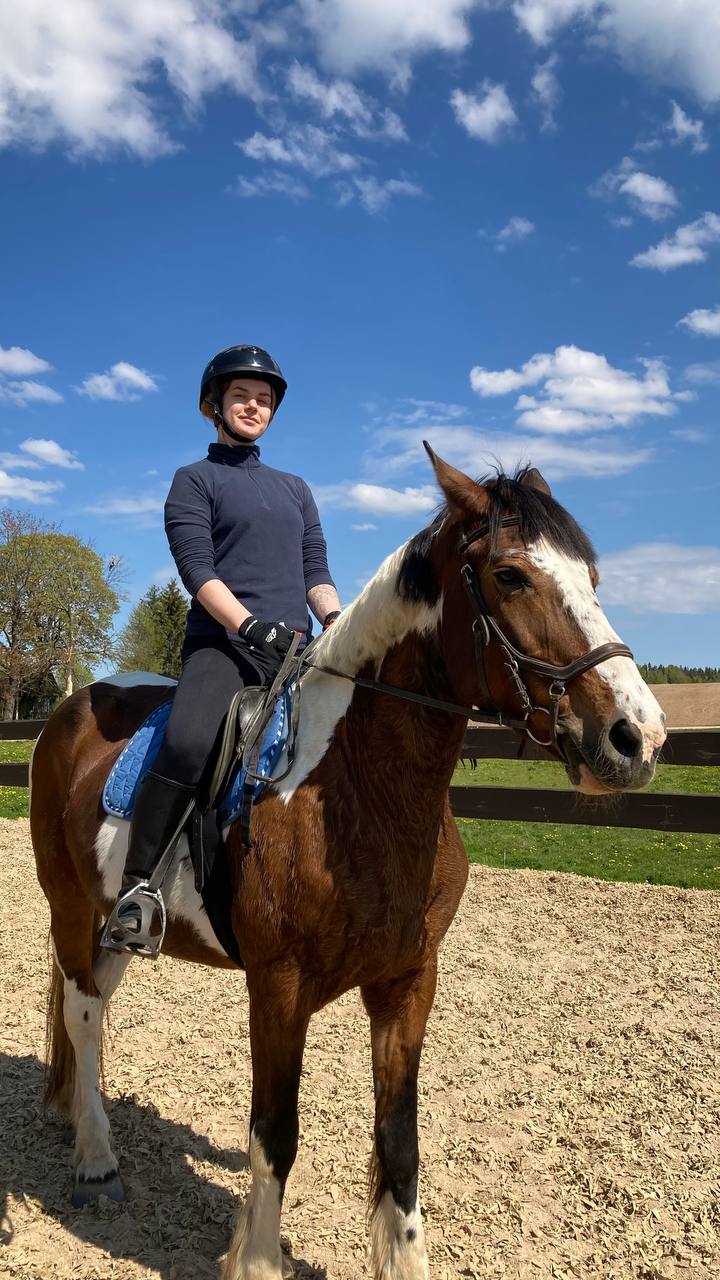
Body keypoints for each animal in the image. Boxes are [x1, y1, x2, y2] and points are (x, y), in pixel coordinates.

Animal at [32, 458, 661, 1280]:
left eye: (592, 577)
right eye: (510, 575)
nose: (637, 737)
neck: (358, 786)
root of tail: (71, 709)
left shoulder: (408, 981)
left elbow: (400, 1140)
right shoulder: (278, 986)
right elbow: (275, 1134)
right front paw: (258, 1261)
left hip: (114, 924)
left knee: (96, 1010)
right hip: (71, 906)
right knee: (83, 1014)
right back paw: (96, 1161)